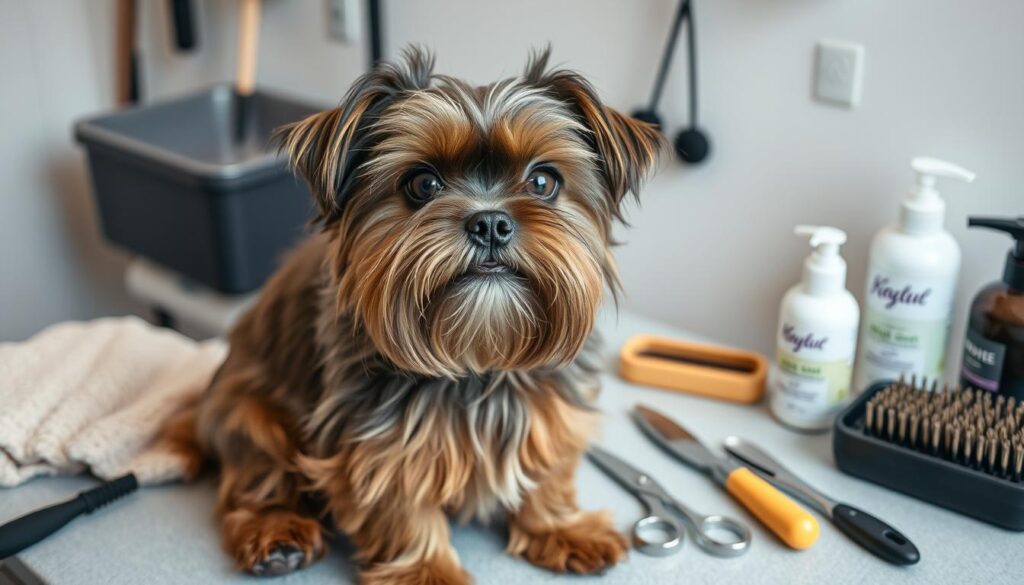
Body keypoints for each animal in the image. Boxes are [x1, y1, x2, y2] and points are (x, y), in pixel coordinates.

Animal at [157, 46, 655, 585]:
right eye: (423, 183)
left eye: (543, 181)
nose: (490, 222)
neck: (478, 362)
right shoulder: (379, 439)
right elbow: (399, 504)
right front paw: (427, 572)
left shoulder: (548, 409)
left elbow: (549, 469)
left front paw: (562, 528)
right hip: (251, 413)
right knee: (253, 478)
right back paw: (276, 532)